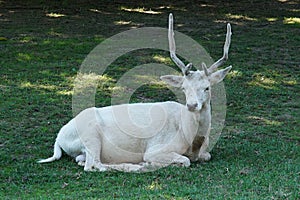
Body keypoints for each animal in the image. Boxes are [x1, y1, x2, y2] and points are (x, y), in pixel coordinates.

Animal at [38, 13, 232, 172]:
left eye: (207, 87)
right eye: (183, 88)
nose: (192, 105)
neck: (190, 138)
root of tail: (59, 138)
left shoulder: (204, 152)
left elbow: (206, 156)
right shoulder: (156, 148)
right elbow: (185, 160)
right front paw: (151, 163)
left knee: (82, 160)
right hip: (90, 135)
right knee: (93, 165)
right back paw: (136, 166)